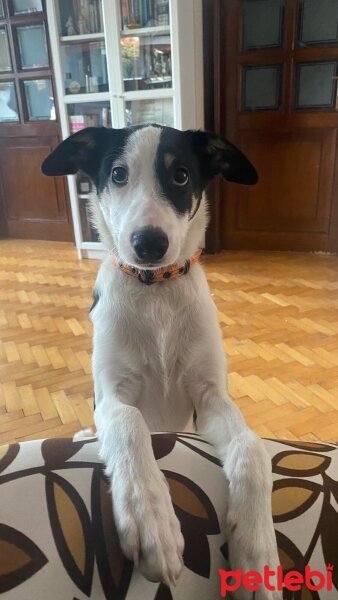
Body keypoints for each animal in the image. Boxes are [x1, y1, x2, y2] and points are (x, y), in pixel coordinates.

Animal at [41, 124, 280, 596]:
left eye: (181, 175)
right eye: (117, 174)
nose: (149, 243)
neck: (156, 295)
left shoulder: (209, 400)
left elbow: (251, 448)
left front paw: (257, 552)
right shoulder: (111, 396)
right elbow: (129, 422)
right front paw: (150, 518)